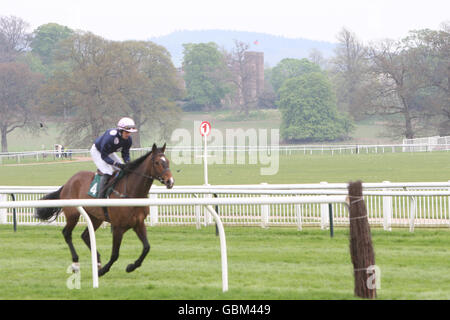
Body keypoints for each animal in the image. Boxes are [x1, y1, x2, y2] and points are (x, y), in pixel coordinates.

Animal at [33, 144, 173, 276]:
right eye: (157, 162)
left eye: (167, 161)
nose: (170, 181)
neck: (132, 193)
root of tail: (68, 182)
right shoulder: (118, 227)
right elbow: (115, 254)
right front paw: (103, 271)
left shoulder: (138, 224)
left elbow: (146, 247)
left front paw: (131, 266)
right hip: (73, 214)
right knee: (67, 233)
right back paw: (76, 263)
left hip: (95, 217)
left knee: (85, 235)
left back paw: (98, 261)